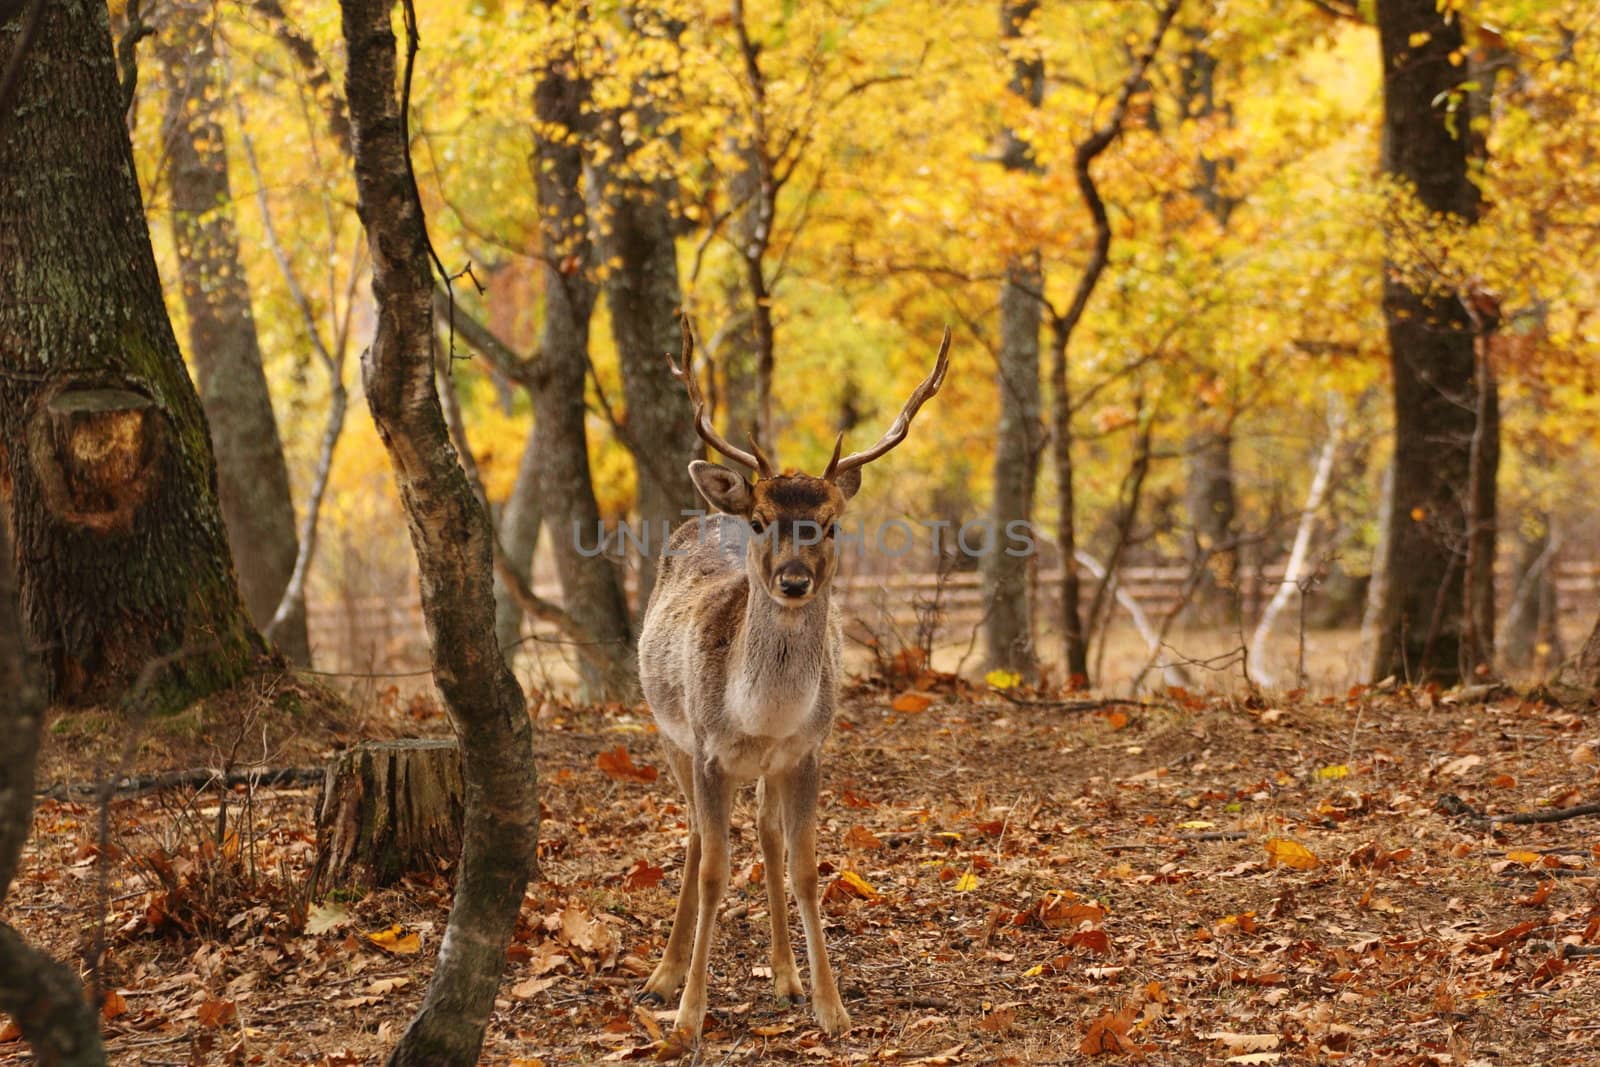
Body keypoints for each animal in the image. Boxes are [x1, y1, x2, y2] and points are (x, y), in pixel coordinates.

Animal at [636, 319, 947, 1043]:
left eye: (830, 525)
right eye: (760, 522)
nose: (794, 579)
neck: (762, 715)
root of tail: (704, 512)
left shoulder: (807, 752)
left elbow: (806, 868)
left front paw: (831, 1007)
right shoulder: (709, 750)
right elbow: (715, 870)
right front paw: (687, 1016)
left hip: (765, 769)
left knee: (767, 834)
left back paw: (784, 976)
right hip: (667, 732)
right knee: (694, 835)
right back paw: (661, 974)